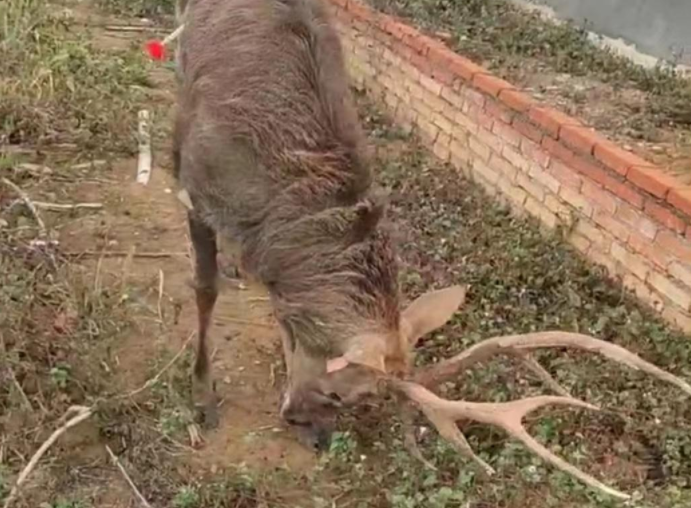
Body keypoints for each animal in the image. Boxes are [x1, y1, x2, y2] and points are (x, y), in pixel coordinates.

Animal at [171, 0, 691, 499]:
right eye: (344, 395)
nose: (313, 432)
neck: (276, 212)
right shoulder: (200, 191)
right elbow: (204, 288)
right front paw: (202, 398)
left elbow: (285, 317)